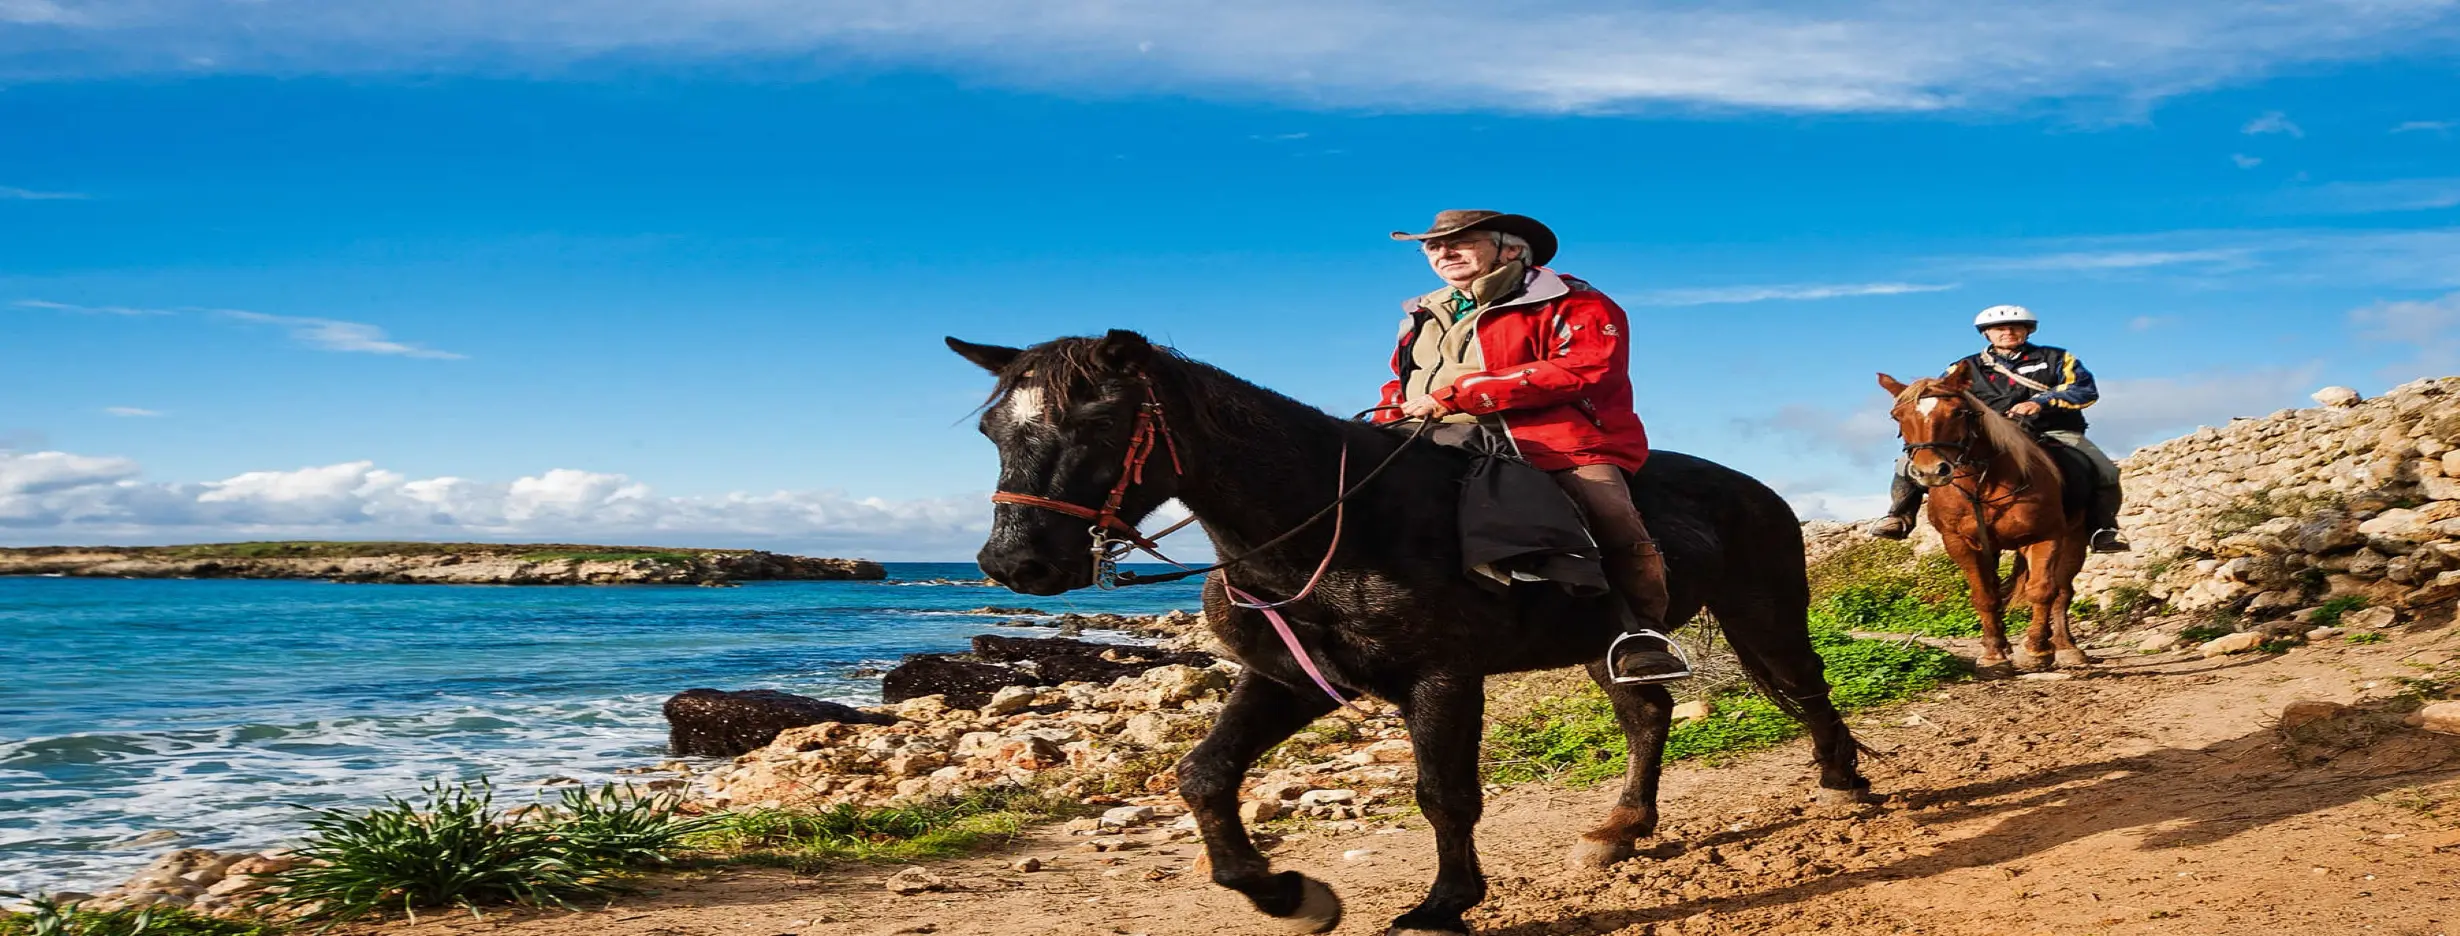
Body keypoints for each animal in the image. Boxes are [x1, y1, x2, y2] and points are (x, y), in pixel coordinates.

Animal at [951, 330, 1871, 936]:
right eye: (992, 431)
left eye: (1098, 423)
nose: (1013, 562)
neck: (1333, 523)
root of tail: (1755, 489)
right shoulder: (1291, 681)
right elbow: (1204, 776)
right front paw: (1288, 896)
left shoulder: (1442, 679)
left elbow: (1444, 795)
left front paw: (1442, 908)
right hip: (1608, 649)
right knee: (1648, 717)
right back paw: (1618, 830)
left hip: (1765, 611)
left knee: (1806, 687)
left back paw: (1841, 783)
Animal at [1877, 364, 2093, 673]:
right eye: (1898, 416)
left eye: (1957, 412)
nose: (1930, 472)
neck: (1984, 485)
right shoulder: (1960, 543)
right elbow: (1984, 596)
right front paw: (1993, 654)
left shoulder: (2045, 536)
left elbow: (2042, 591)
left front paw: (2036, 650)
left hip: (2073, 543)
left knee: (2062, 591)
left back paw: (2065, 647)